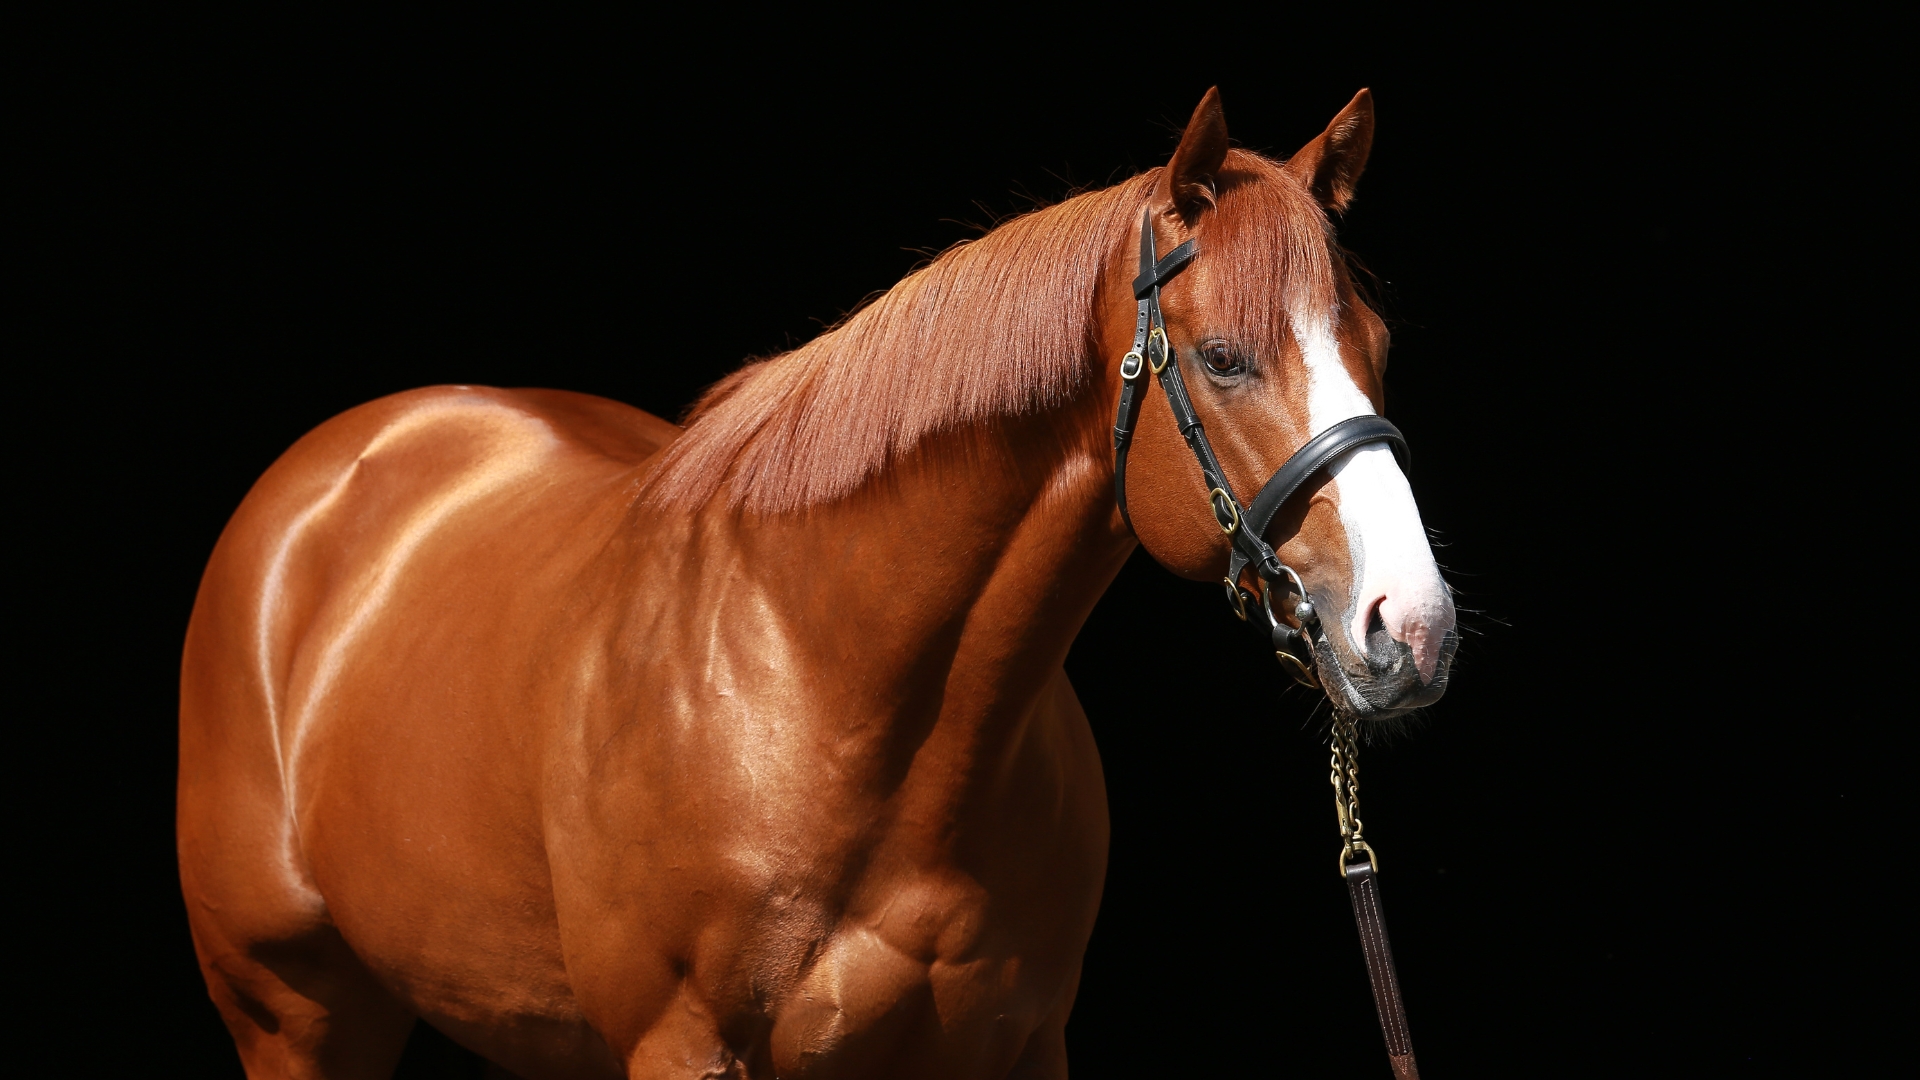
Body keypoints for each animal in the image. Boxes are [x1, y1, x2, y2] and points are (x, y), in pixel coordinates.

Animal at [178, 87, 1456, 1079]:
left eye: (1380, 343)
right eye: (1224, 359)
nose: (1411, 629)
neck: (822, 686)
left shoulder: (1017, 1045)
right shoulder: (682, 1049)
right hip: (296, 1020)